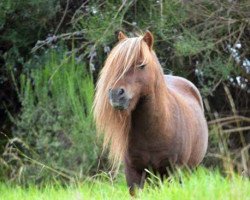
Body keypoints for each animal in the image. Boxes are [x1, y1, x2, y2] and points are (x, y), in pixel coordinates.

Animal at [93, 31, 208, 195]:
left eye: (141, 65)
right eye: (115, 65)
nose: (115, 94)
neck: (154, 130)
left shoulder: (172, 171)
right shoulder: (133, 173)